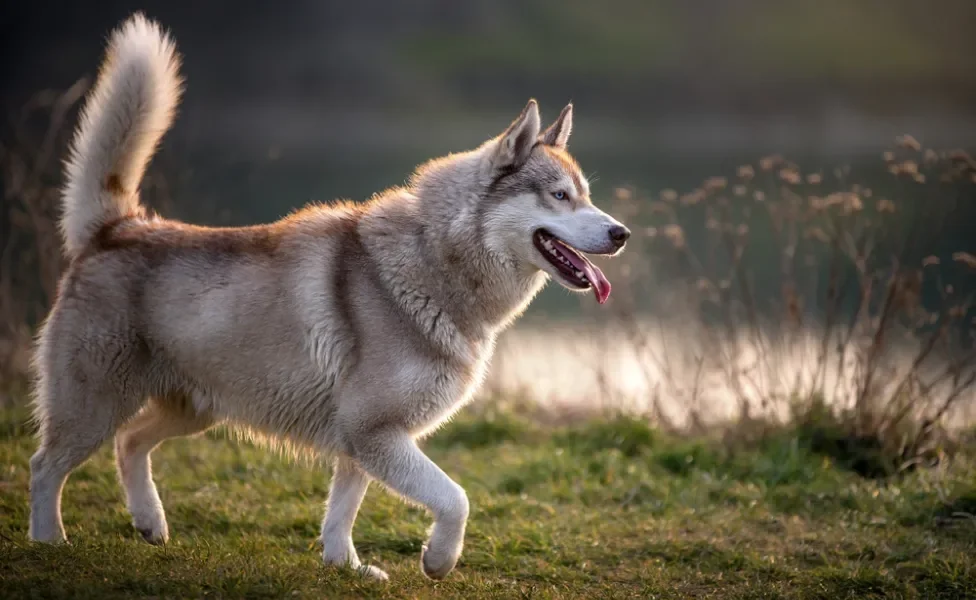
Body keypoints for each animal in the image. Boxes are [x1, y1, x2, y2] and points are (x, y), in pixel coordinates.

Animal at [28, 11, 632, 580]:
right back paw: (48, 541)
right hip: (93, 403)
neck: (434, 261)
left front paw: (346, 566)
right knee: (45, 465)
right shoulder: (373, 432)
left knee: (129, 442)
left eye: (586, 196)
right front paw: (438, 560)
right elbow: (455, 498)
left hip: (194, 408)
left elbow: (343, 510)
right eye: (560, 196)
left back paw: (150, 524)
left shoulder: (361, 440)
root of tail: (117, 227)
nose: (621, 233)